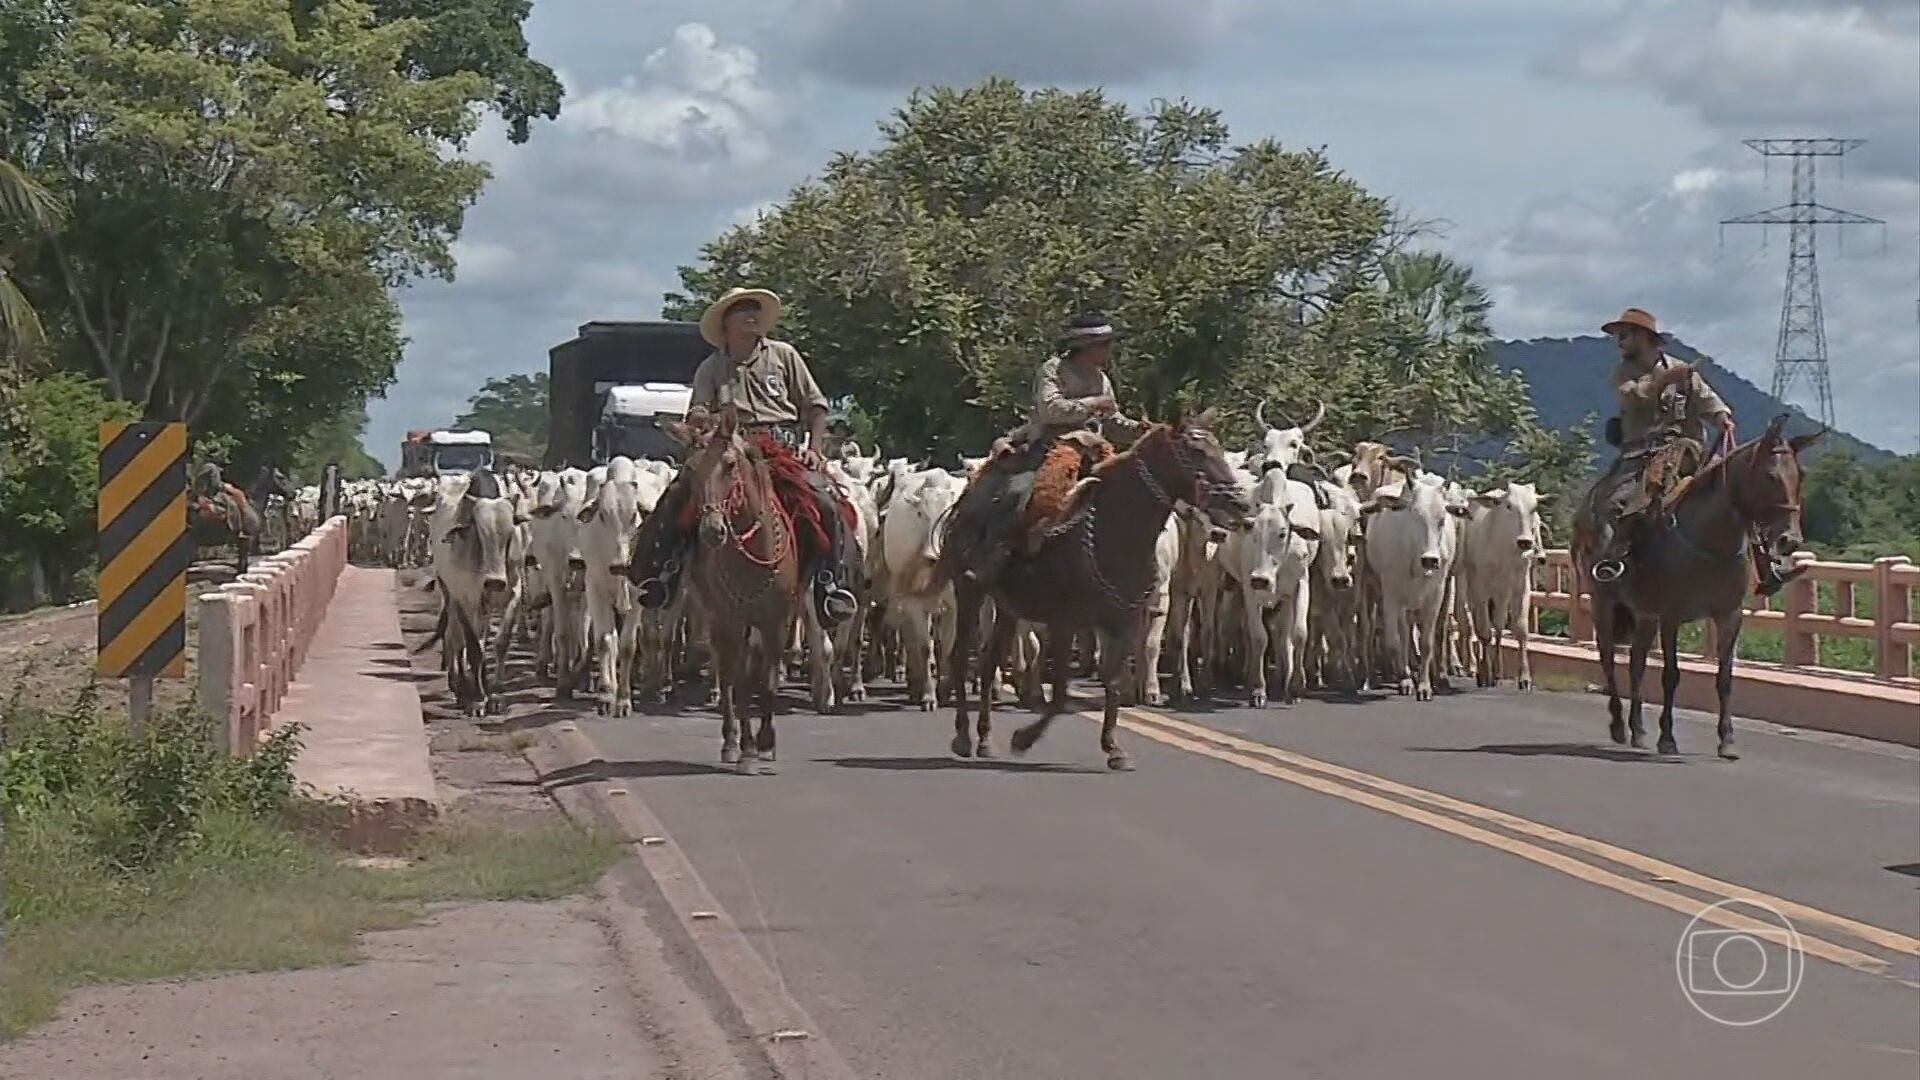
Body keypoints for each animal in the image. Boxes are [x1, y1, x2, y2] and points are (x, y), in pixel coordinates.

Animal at [660, 407, 810, 768]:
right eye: (690, 469)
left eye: (729, 464)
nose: (712, 531)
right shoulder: (731, 619)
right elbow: (740, 682)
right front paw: (747, 747)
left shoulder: (776, 621)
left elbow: (767, 681)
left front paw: (767, 740)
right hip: (714, 616)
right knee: (727, 673)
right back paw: (731, 740)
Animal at [940, 407, 1244, 768]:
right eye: (1195, 450)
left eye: (1218, 447)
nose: (1239, 503)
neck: (1115, 529)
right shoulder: (1064, 622)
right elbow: (1059, 694)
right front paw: (1024, 738)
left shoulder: (1121, 622)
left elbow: (1111, 682)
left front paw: (1113, 748)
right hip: (970, 591)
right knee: (961, 658)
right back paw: (961, 737)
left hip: (1007, 608)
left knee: (988, 665)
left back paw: (985, 740)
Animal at [1574, 411, 1812, 757]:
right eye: (1770, 476)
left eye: (1800, 476)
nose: (1789, 540)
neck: (1711, 540)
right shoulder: (1671, 616)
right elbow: (1671, 675)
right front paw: (1667, 738)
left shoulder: (1728, 616)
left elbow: (1725, 677)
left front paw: (1727, 740)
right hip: (1603, 602)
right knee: (1607, 658)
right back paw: (1618, 725)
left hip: (1644, 615)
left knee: (1636, 663)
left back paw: (1637, 730)